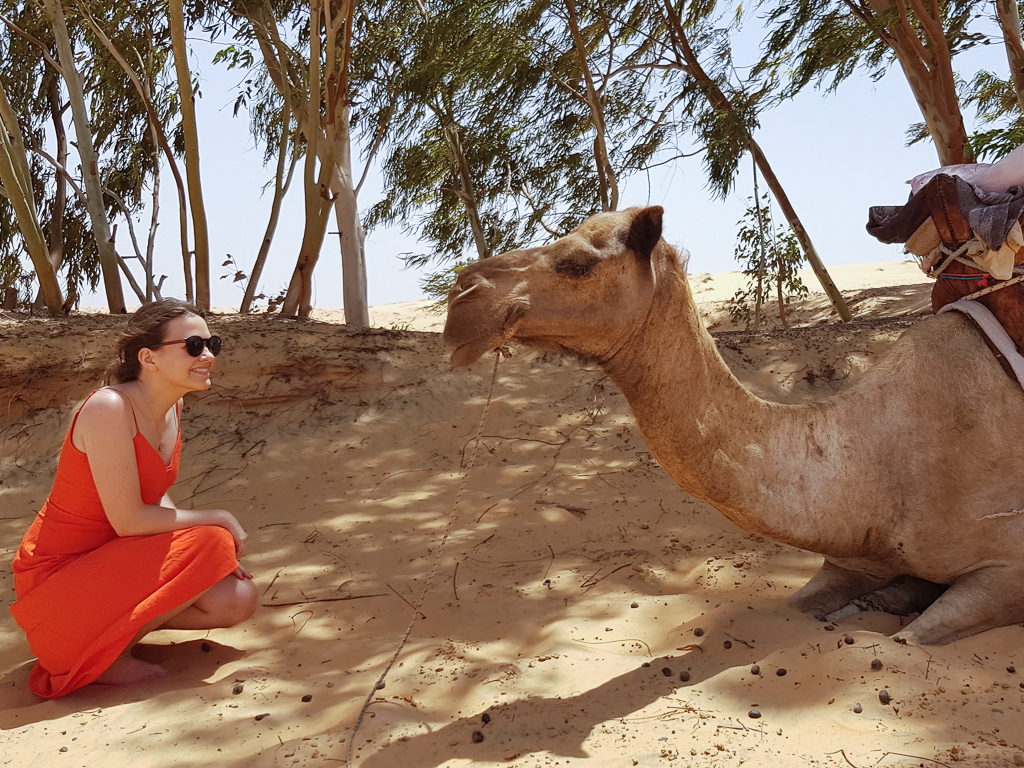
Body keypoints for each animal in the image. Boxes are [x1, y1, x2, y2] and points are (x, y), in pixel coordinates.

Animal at [444, 207, 1024, 647]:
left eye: (577, 263)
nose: (461, 296)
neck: (877, 464)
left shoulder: (1007, 568)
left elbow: (908, 638)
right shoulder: (850, 557)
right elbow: (804, 604)